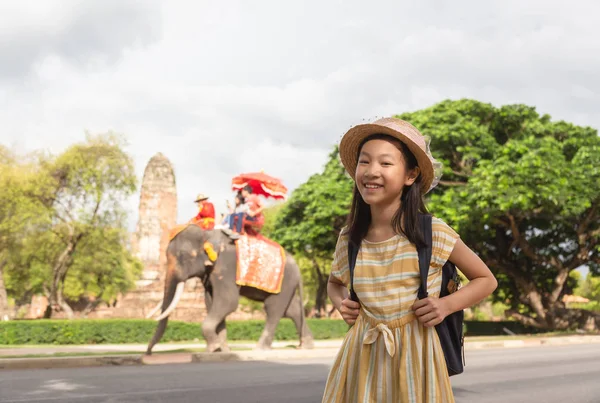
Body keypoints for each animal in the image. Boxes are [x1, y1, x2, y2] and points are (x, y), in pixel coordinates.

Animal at [145, 226, 314, 356]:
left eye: (183, 256)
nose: (148, 353)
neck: (207, 234)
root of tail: (298, 267)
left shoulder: (226, 267)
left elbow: (228, 302)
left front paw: (214, 348)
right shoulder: (210, 274)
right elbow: (211, 302)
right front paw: (222, 350)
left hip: (283, 282)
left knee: (273, 309)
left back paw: (260, 349)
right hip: (288, 284)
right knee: (292, 309)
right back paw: (306, 346)